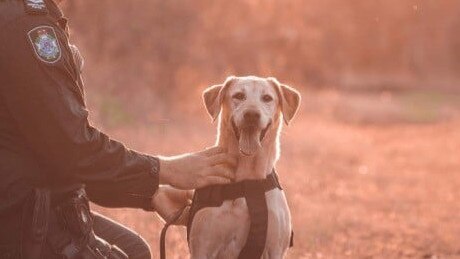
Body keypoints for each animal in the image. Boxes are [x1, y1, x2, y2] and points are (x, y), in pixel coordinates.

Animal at [188, 76, 302, 258]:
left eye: (267, 98)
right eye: (239, 96)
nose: (252, 115)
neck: (247, 182)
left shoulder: (275, 249)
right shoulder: (203, 247)